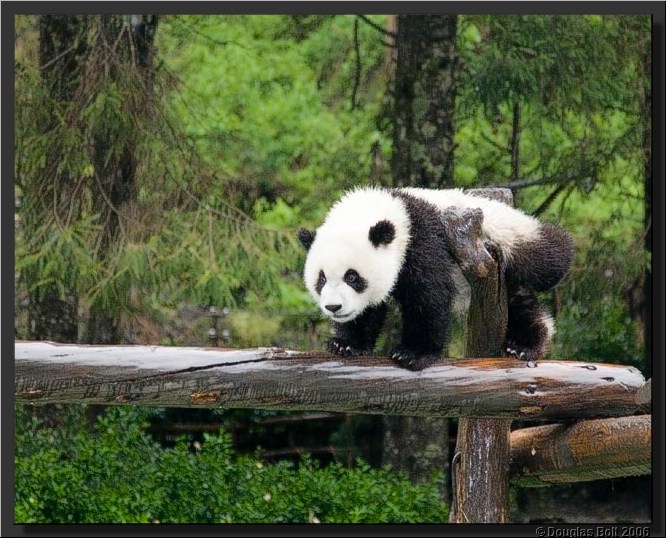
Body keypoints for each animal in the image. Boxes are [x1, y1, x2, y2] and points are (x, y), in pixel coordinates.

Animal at [298, 186, 574, 371]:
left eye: (352, 277)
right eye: (321, 279)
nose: (334, 307)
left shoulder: (422, 240)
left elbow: (428, 297)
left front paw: (413, 353)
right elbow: (367, 312)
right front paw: (346, 344)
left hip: (510, 235)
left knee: (550, 258)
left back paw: (524, 345)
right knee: (520, 305)